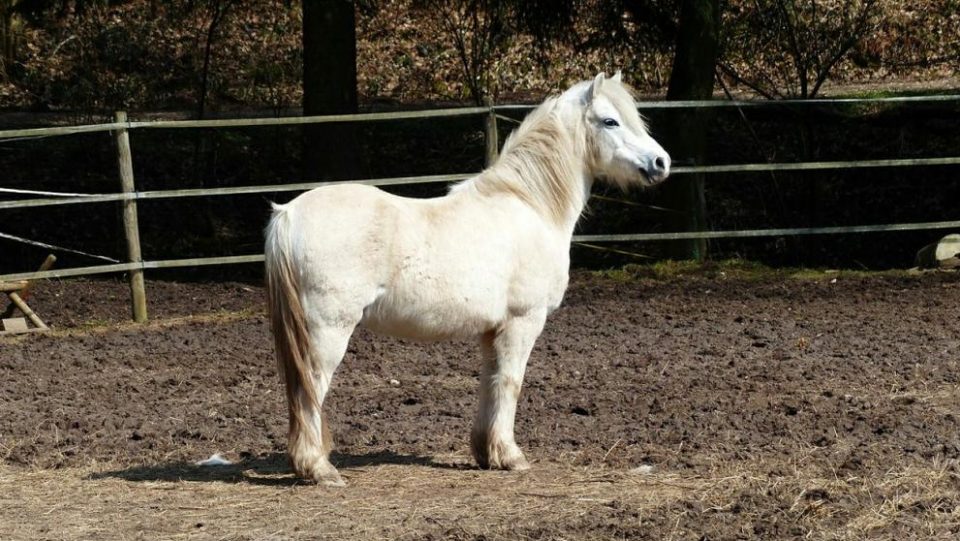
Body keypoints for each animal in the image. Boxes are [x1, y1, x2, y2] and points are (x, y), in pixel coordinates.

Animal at [264, 72, 671, 486]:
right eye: (610, 121)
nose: (661, 162)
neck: (530, 205)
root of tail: (288, 214)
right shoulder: (523, 321)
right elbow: (511, 382)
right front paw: (511, 456)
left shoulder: (493, 330)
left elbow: (490, 383)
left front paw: (487, 453)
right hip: (329, 329)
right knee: (310, 388)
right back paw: (319, 468)